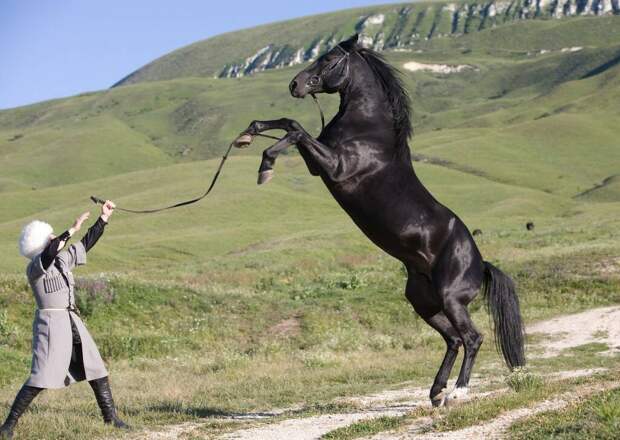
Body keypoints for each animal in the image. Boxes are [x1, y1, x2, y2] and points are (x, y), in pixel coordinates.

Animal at [240, 34, 524, 406]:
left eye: (329, 59)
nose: (295, 85)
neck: (368, 129)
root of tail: (481, 263)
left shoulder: (333, 166)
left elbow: (297, 131)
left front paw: (266, 166)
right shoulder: (319, 164)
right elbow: (290, 123)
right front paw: (248, 134)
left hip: (451, 299)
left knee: (472, 338)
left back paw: (458, 392)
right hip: (424, 301)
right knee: (453, 339)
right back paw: (436, 392)